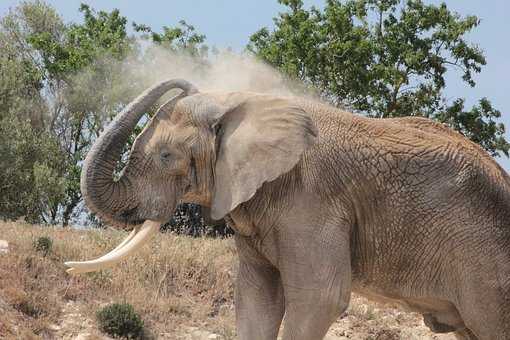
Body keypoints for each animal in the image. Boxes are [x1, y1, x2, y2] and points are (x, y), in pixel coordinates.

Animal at [65, 79, 510, 340]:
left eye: (166, 156)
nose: (187, 82)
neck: (244, 105)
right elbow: (256, 298)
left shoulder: (314, 201)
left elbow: (319, 298)